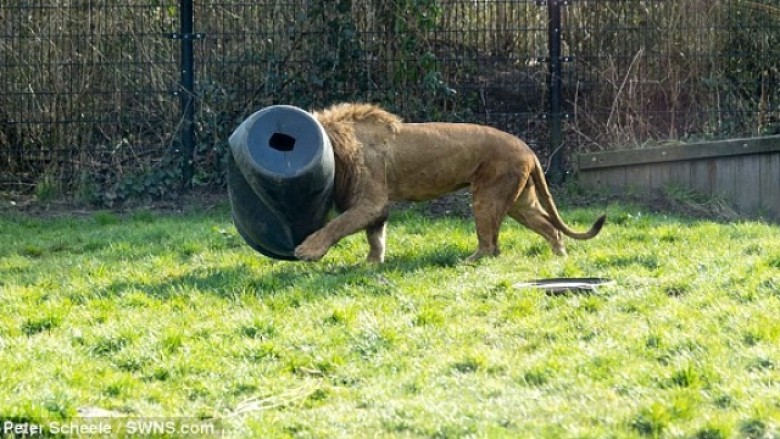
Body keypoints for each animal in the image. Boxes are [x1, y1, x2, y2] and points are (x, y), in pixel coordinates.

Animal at [292, 103, 604, 262]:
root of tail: (528, 148)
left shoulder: (371, 201)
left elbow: (337, 225)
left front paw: (308, 250)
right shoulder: (375, 207)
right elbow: (375, 237)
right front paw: (371, 264)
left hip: (488, 197)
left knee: (490, 246)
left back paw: (468, 262)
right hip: (520, 201)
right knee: (549, 227)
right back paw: (560, 256)